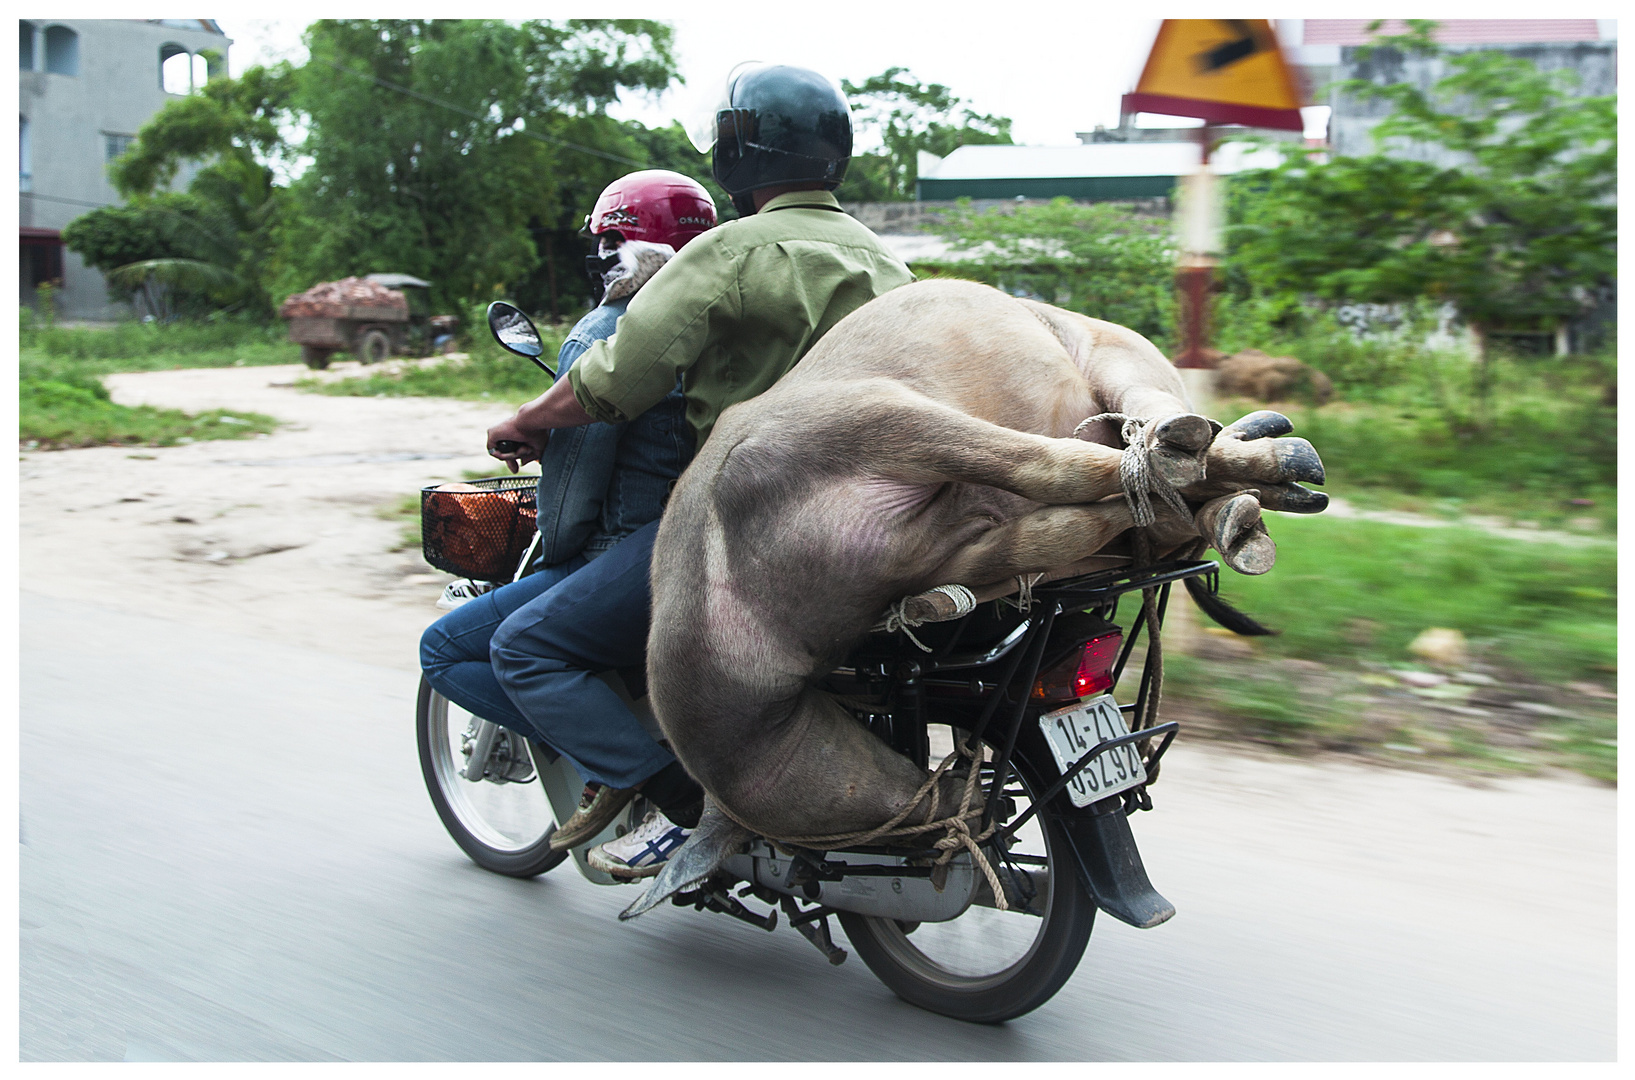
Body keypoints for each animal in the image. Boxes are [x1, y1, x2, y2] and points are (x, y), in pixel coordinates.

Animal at [644, 279, 1321, 849]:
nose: (974, 813)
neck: (728, 566)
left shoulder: (889, 422)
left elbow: (1052, 466)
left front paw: (1250, 466)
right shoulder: (951, 552)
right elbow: (1081, 515)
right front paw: (1201, 495)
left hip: (1113, 356)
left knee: (1153, 417)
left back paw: (1269, 459)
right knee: (1170, 500)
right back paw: (1236, 508)